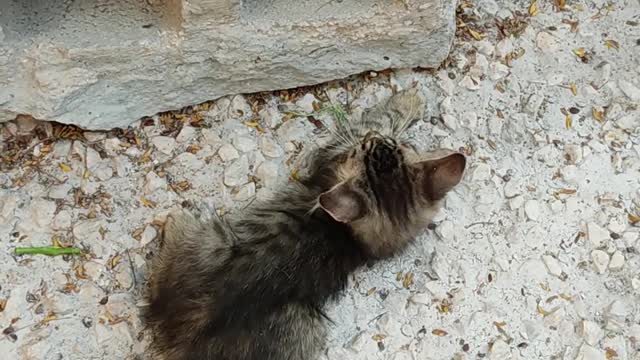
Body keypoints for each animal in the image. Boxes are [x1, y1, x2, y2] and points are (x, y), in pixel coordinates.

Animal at [144, 88, 464, 360]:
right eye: (394, 146)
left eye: (367, 148)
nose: (375, 141)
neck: (351, 237)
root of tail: (179, 333)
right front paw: (411, 101)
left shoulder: (335, 150)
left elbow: (380, 117)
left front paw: (407, 100)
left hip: (212, 243)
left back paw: (173, 218)